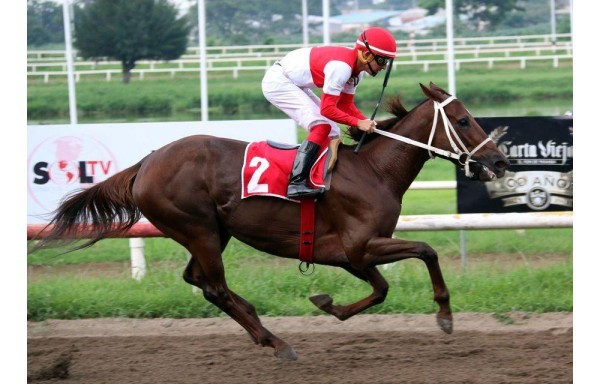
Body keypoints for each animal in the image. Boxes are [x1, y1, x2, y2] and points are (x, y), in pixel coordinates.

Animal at [28, 82, 506, 360]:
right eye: (463, 120)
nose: (499, 161)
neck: (374, 171)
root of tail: (145, 162)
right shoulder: (360, 245)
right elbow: (427, 250)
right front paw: (444, 315)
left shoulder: (350, 254)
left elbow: (381, 289)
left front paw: (328, 304)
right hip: (198, 227)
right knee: (215, 286)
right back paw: (276, 341)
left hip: (212, 232)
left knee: (199, 281)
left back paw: (260, 328)